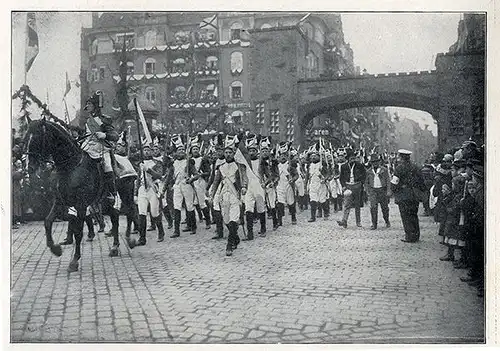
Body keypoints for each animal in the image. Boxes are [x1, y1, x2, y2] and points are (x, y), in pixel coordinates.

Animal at [24, 118, 121, 272]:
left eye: (38, 138)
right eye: (26, 137)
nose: (30, 168)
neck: (70, 166)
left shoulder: (80, 204)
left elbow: (78, 231)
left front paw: (74, 261)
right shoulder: (59, 202)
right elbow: (48, 221)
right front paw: (56, 249)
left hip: (112, 198)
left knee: (115, 218)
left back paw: (115, 247)